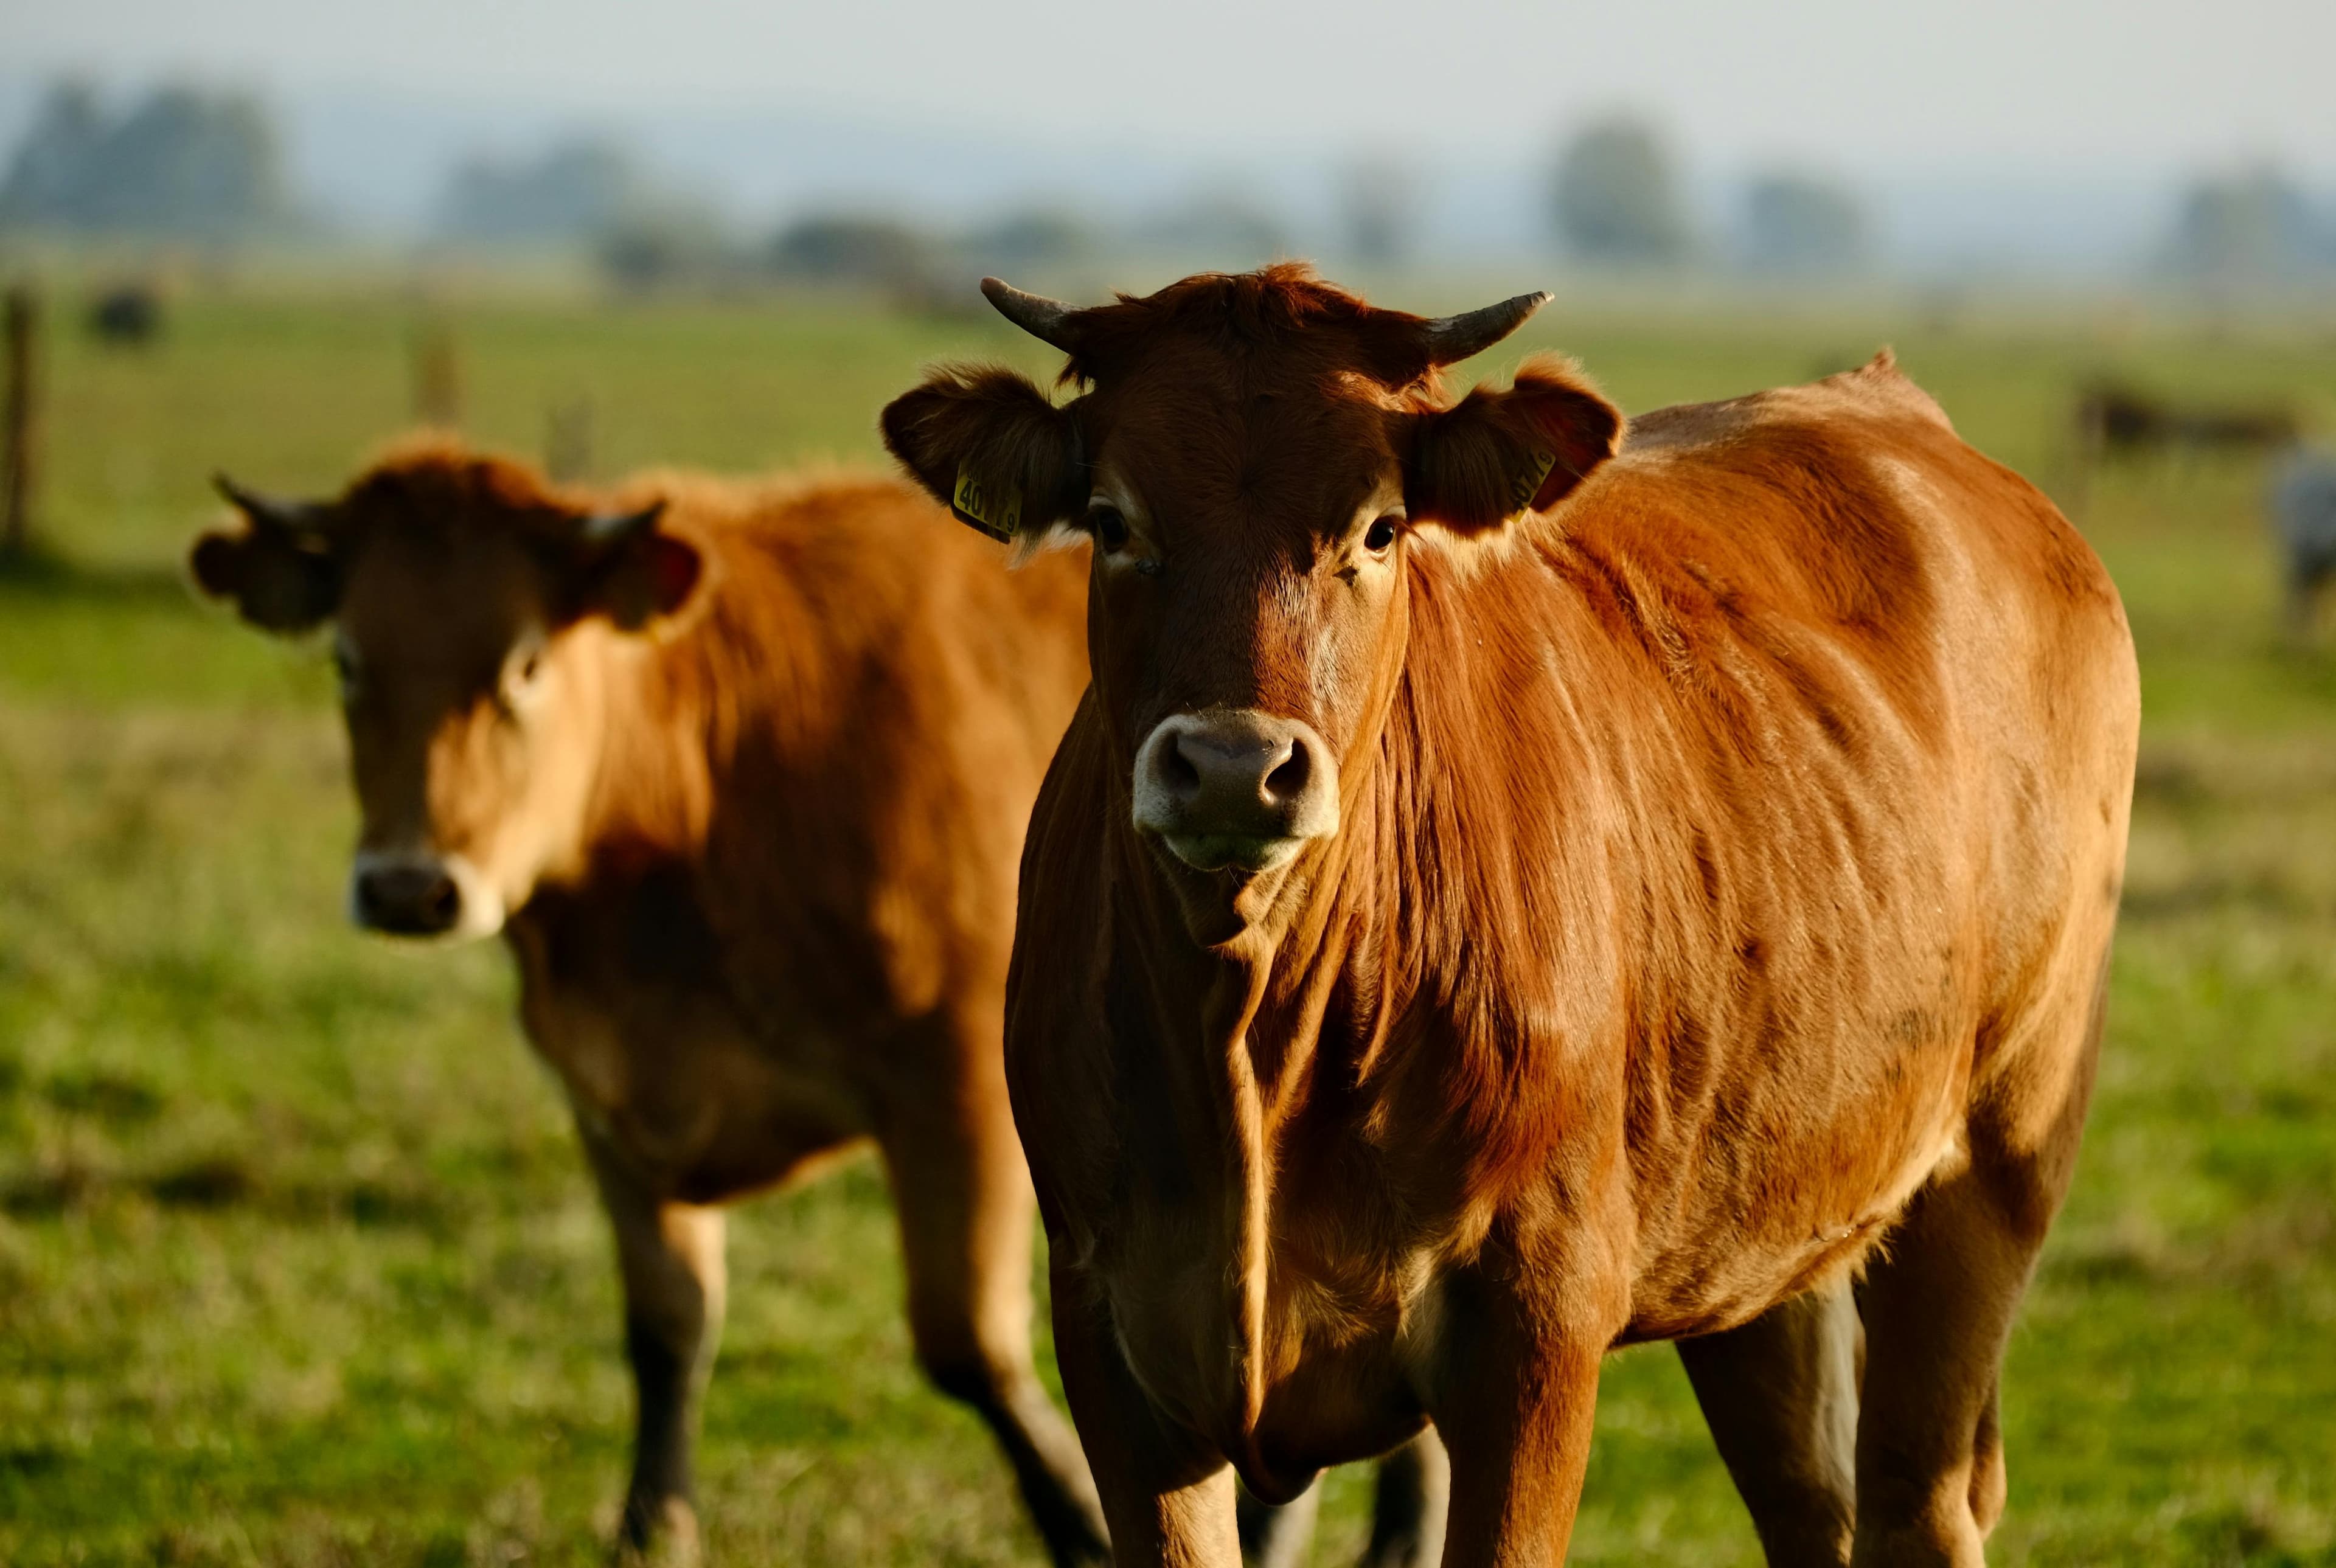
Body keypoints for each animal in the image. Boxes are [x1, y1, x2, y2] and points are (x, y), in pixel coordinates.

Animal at [186, 442, 1108, 1565]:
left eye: (525, 665)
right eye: (349, 662)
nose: (408, 888)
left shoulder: (958, 1082)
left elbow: (968, 1340)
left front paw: (1080, 1513)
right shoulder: (608, 1097)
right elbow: (669, 1323)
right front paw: (653, 1521)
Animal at [880, 265, 2139, 1566]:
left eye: (1380, 527)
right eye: (1113, 519)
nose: (1234, 768)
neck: (1257, 1034)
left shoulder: (1535, 1323)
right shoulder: (1116, 1339)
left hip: (1997, 1162)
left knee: (1916, 1498)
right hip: (1761, 1232)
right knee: (1811, 1500)